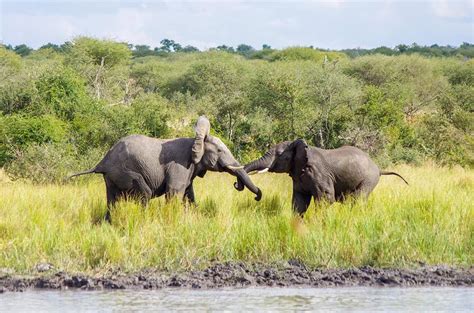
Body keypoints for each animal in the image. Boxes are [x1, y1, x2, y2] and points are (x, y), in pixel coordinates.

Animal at [70, 116, 262, 221]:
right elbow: (174, 192)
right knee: (144, 194)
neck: (196, 140)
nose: (257, 196)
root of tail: (102, 161)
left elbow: (189, 195)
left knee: (112, 199)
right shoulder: (180, 165)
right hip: (124, 172)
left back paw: (109, 222)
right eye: (221, 151)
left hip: (111, 177)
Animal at [234, 139, 408, 214]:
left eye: (280, 155)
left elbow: (326, 198)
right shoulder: (299, 176)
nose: (237, 185)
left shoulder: (318, 173)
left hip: (369, 179)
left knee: (358, 200)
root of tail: (378, 168)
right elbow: (299, 202)